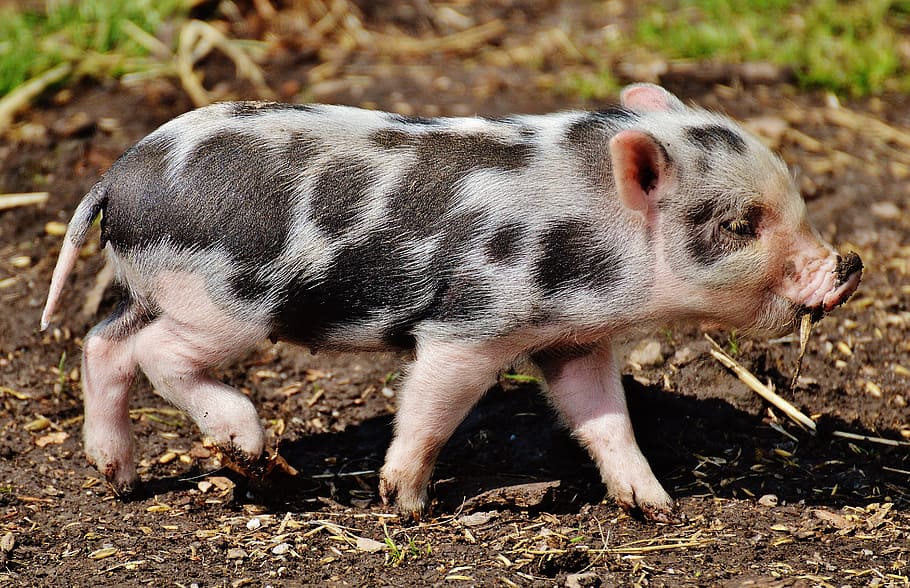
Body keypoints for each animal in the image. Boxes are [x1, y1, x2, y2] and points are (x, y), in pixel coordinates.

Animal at [42, 84, 862, 522]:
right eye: (738, 224)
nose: (849, 264)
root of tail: (118, 174)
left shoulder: (573, 338)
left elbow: (605, 419)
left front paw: (653, 505)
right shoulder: (470, 325)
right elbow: (430, 408)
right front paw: (405, 503)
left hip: (155, 286)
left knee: (103, 343)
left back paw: (120, 480)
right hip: (222, 304)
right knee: (155, 353)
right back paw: (250, 447)